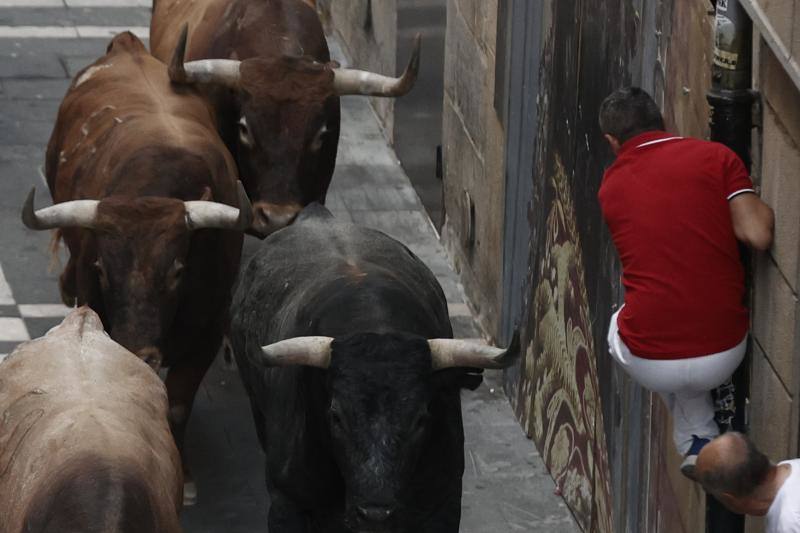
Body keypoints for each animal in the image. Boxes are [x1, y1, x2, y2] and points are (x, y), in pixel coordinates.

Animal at [21, 32, 248, 502]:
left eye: (178, 270)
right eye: (104, 269)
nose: (139, 350)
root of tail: (127, 45)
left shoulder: (209, 329)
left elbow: (177, 403)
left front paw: (185, 475)